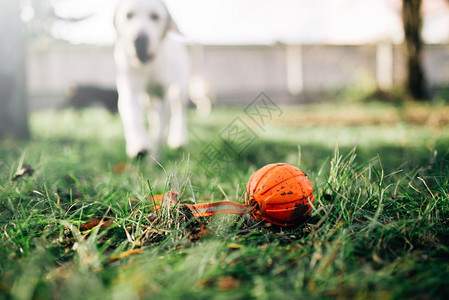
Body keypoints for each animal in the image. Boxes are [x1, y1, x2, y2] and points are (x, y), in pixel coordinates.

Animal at [114, 0, 189, 158]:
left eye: (155, 16)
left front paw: (155, 153)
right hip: (147, 99)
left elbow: (160, 130)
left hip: (179, 88)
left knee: (178, 110)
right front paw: (139, 146)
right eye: (129, 15)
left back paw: (178, 140)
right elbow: (133, 115)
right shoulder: (130, 89)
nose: (140, 39)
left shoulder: (163, 95)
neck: (149, 66)